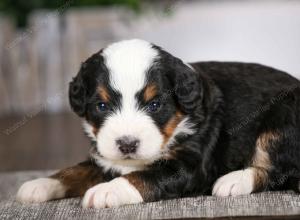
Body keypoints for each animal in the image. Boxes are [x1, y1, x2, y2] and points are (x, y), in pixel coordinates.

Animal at [17, 38, 300, 208]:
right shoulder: (103, 156)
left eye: (154, 105)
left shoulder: (189, 165)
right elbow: (74, 170)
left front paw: (107, 191)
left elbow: (145, 176)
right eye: (102, 106)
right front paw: (40, 184)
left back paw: (233, 181)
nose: (127, 144)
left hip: (282, 119)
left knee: (278, 171)